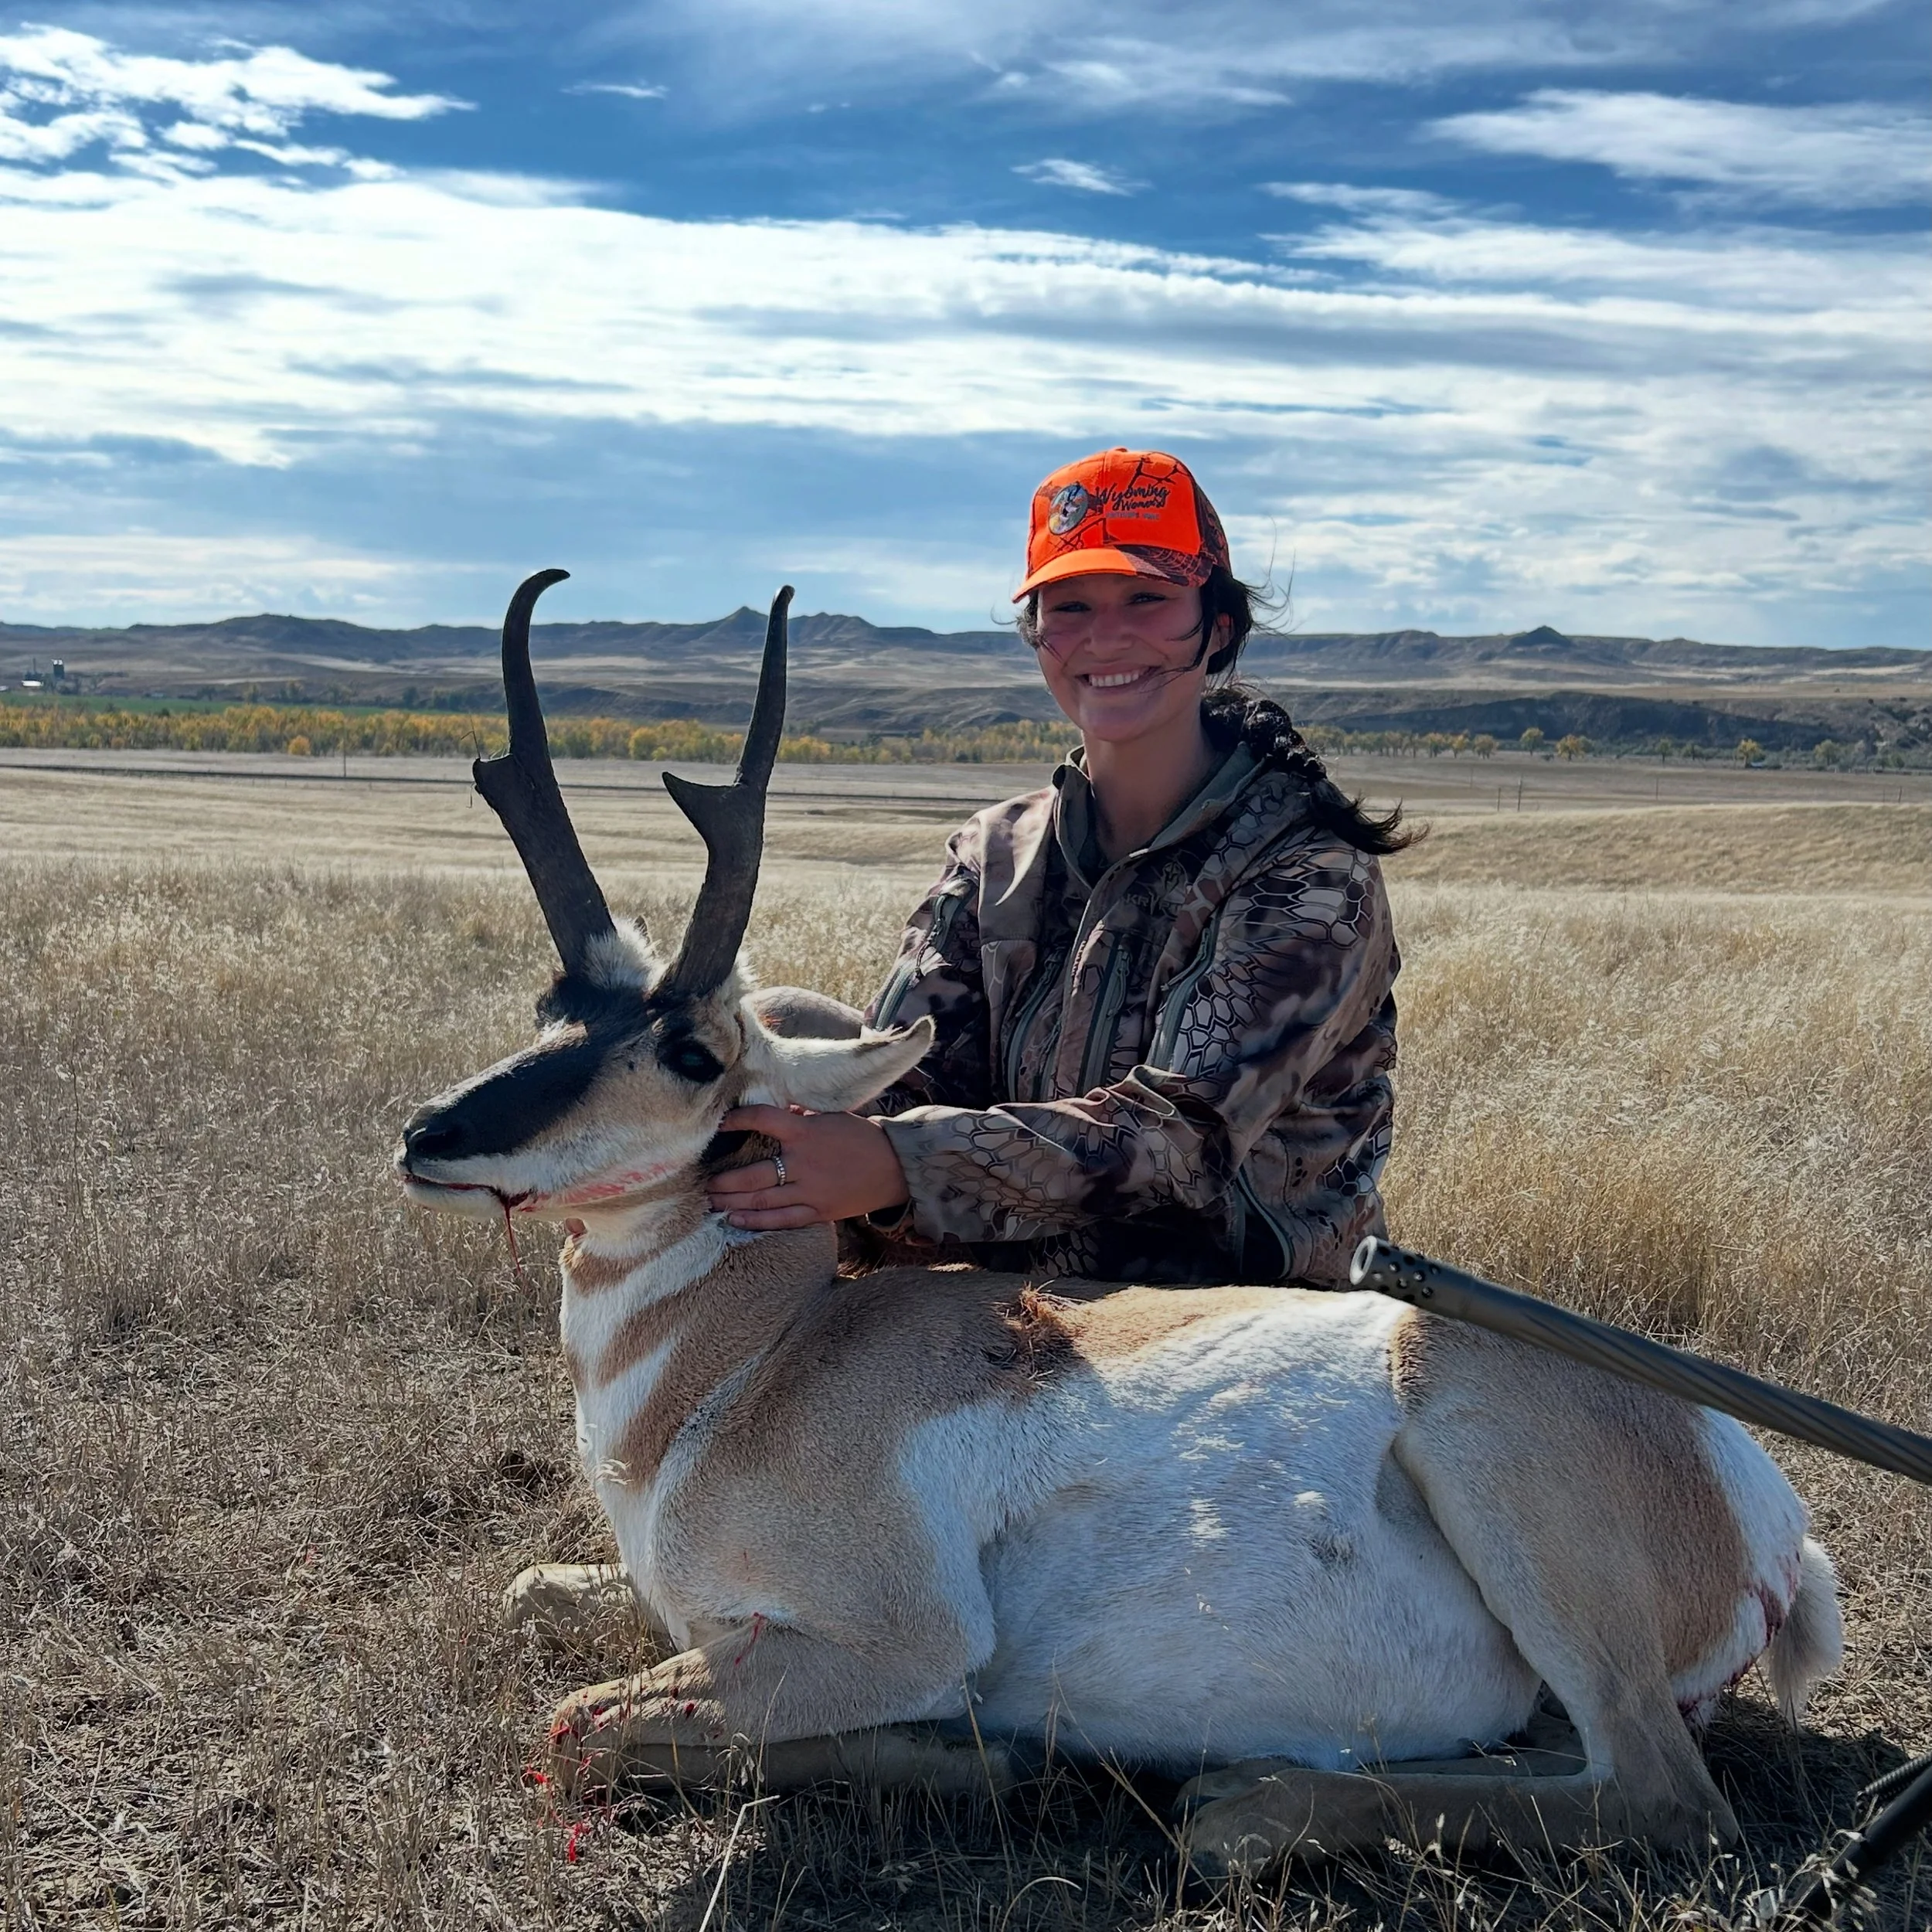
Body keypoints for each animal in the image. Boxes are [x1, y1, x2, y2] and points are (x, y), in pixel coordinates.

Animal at [394, 571, 1842, 1877]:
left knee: (1664, 1799)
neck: (753, 1367)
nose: (428, 1136)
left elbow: (579, 1720)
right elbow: (536, 1604)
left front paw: (977, 1755)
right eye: (552, 1005)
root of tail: (1759, 1497)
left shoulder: (886, 1642)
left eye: (693, 1052)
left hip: (1506, 1481)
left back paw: (1248, 1808)